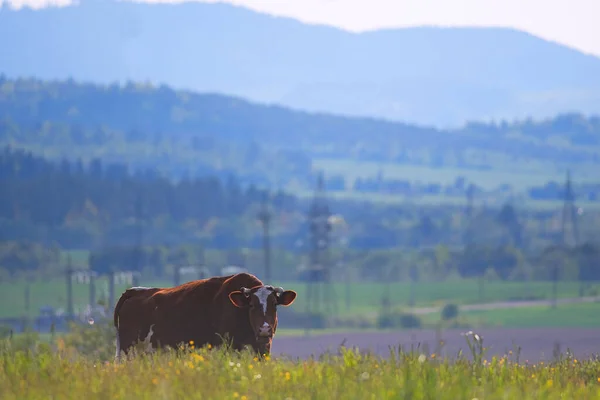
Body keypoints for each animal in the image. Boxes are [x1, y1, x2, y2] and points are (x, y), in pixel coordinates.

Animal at [113, 272, 298, 360]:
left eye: (274, 304)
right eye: (251, 305)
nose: (265, 329)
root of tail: (135, 291)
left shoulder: (263, 349)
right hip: (126, 350)